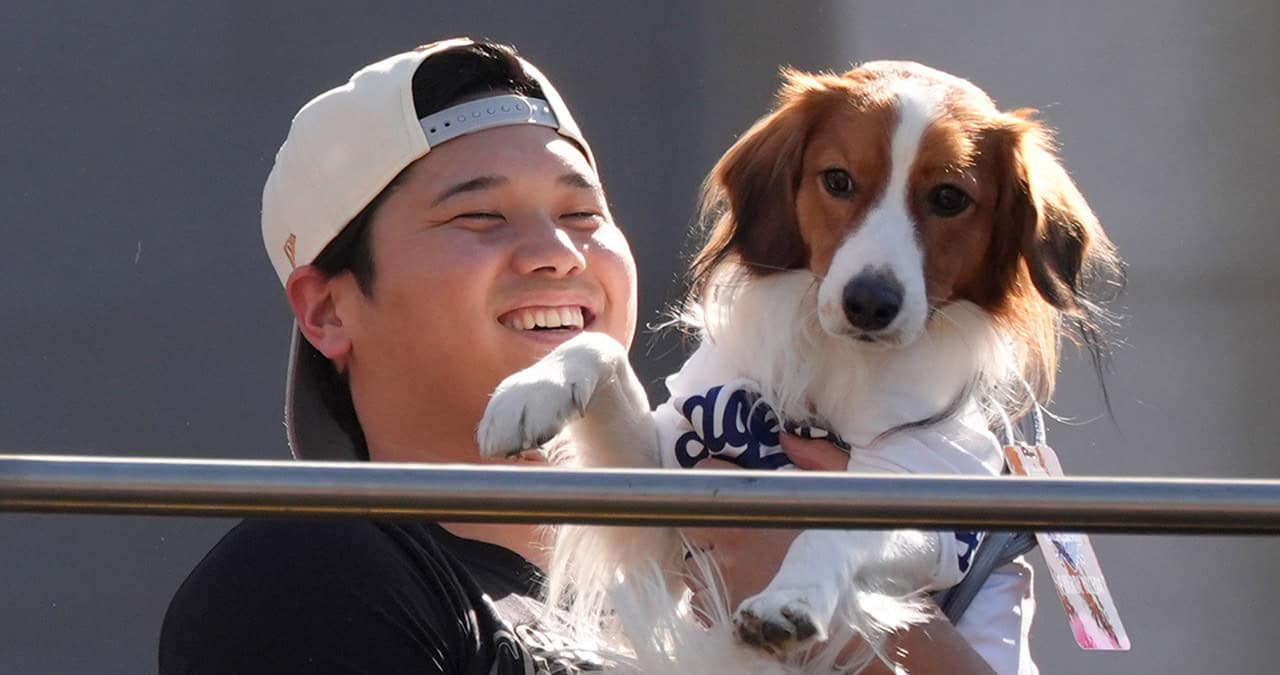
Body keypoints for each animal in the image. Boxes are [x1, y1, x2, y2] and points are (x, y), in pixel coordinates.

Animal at [478, 60, 1121, 671]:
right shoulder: (667, 500)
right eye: (837, 180)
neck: (845, 368)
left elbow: (833, 530)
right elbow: (599, 346)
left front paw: (791, 600)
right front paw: (531, 390)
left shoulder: (929, 506)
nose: (869, 302)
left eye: (948, 198)